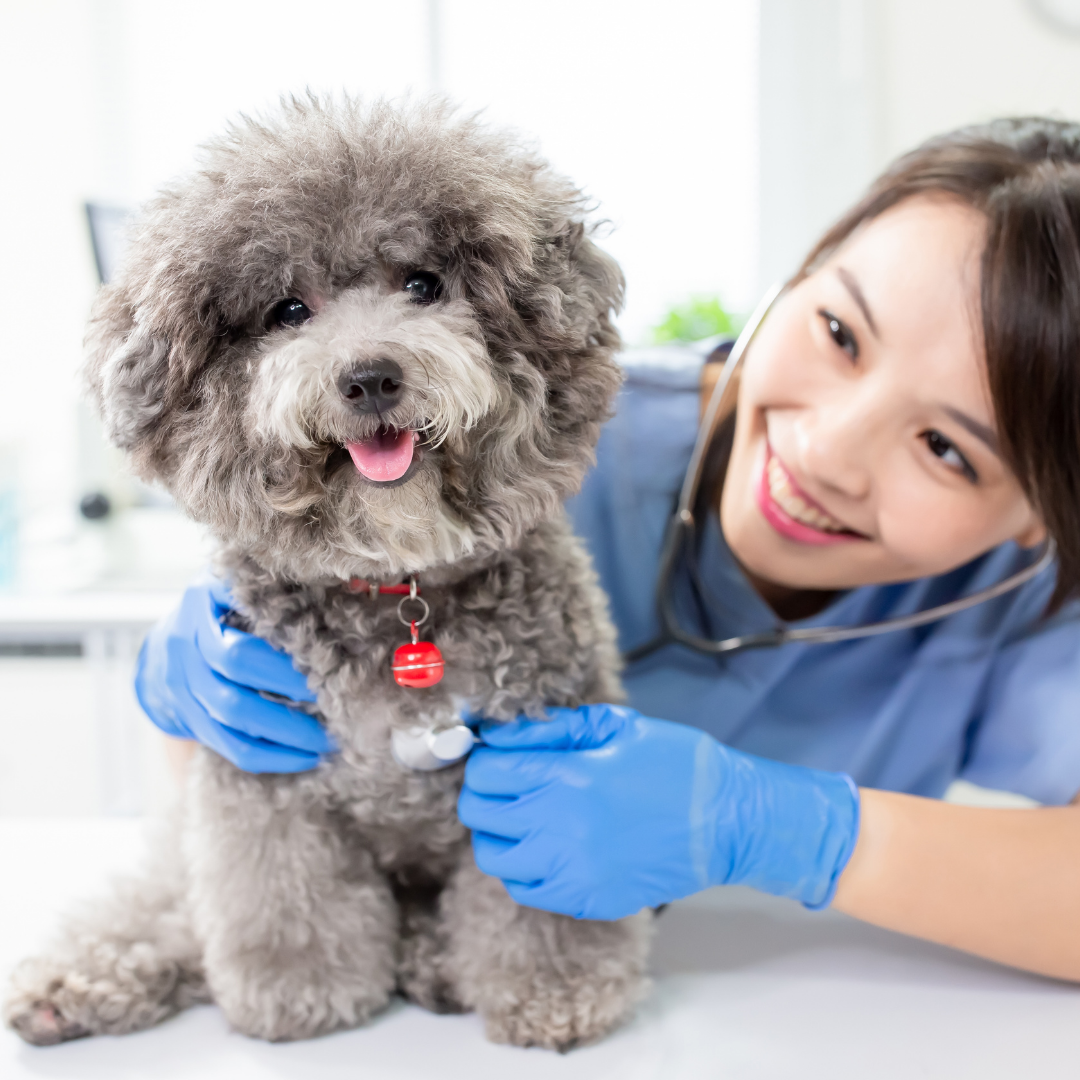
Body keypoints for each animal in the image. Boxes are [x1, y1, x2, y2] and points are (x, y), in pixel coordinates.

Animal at [4, 99, 648, 1045]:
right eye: (288, 309)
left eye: (424, 284)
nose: (370, 376)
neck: (396, 588)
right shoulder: (265, 785)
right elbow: (282, 896)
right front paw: (298, 991)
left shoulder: (540, 752)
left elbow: (543, 902)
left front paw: (554, 990)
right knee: (160, 906)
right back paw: (75, 982)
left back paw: (434, 964)